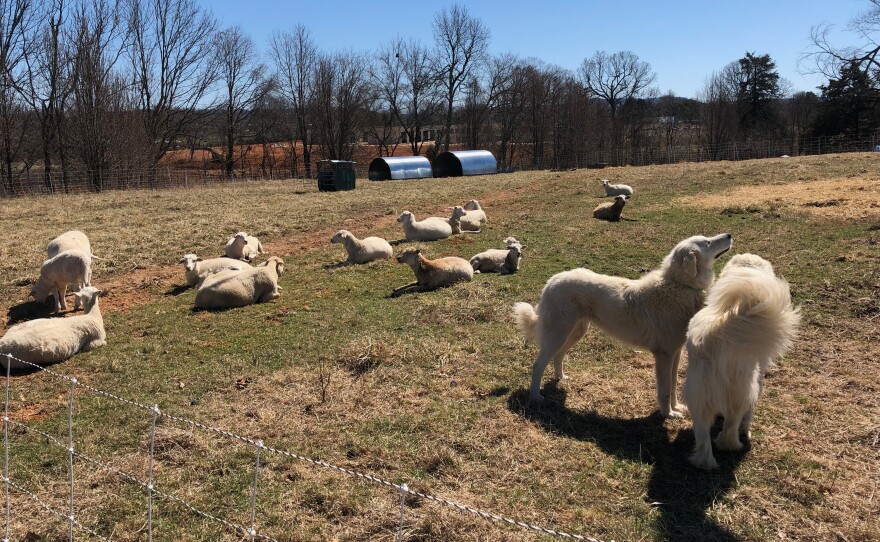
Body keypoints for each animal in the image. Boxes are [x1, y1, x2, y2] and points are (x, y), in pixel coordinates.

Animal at [512, 232, 732, 418]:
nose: (729, 235)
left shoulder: (675, 353)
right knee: (538, 364)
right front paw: (668, 414)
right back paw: (536, 396)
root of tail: (552, 280)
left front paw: (676, 408)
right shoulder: (664, 356)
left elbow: (673, 385)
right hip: (557, 334)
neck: (678, 285)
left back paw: (561, 378)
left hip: (575, 332)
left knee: (558, 356)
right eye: (707, 243)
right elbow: (664, 391)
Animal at [684, 255, 800, 472]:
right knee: (732, 426)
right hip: (743, 393)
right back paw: (732, 443)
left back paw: (704, 463)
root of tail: (717, 333)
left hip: (698, 398)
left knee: (703, 436)